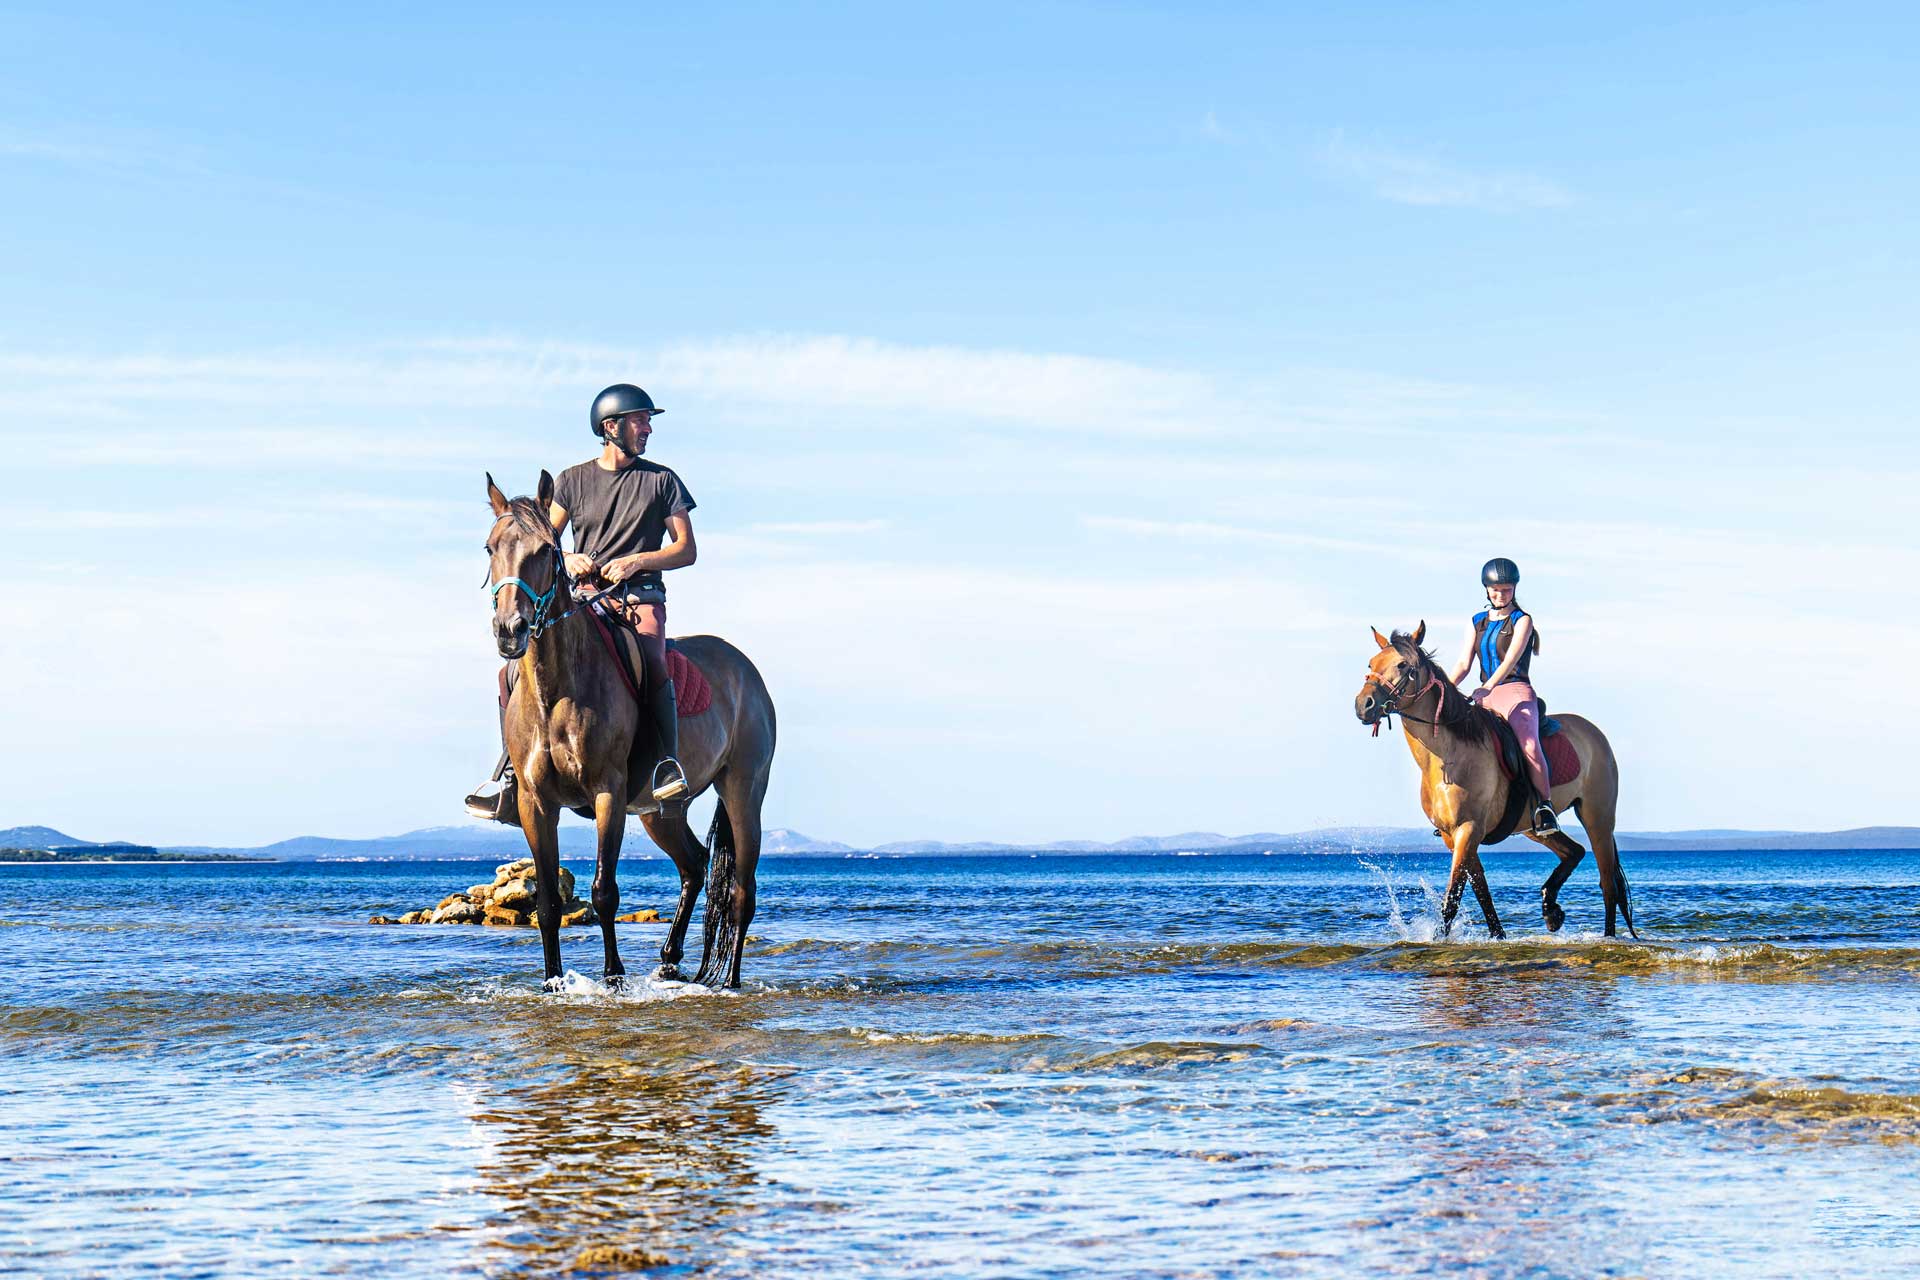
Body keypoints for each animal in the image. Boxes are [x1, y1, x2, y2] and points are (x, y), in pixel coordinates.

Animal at [484, 471, 778, 989]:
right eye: (489, 547)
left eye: (545, 550)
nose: (509, 629)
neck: (557, 690)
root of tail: (748, 671)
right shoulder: (534, 803)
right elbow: (547, 901)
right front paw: (553, 982)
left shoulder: (609, 792)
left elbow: (605, 891)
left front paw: (613, 978)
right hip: (661, 810)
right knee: (694, 864)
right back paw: (674, 961)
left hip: (744, 791)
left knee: (742, 891)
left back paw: (729, 981)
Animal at [1353, 622, 1636, 940]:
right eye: (1371, 664)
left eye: (1402, 665)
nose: (1363, 705)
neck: (1447, 757)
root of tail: (1594, 732)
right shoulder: (1454, 836)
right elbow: (1480, 891)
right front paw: (1498, 935)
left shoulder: (1468, 830)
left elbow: (1453, 899)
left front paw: (1439, 938)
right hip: (1532, 827)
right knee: (1574, 851)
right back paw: (1550, 908)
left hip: (1597, 818)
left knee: (1607, 883)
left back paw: (1607, 935)